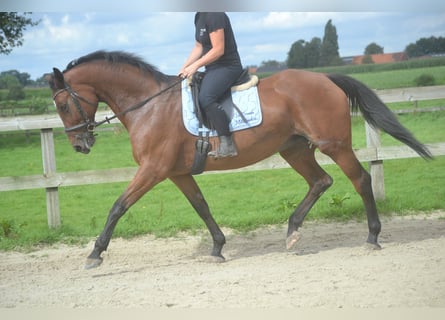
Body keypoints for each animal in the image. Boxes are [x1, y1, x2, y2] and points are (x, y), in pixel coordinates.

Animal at [46, 51, 430, 268]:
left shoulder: (152, 170)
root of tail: (325, 77)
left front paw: (95, 253)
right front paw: (218, 247)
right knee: (321, 181)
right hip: (294, 148)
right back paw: (292, 231)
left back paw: (372, 237)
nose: (80, 145)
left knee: (360, 180)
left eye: (63, 104)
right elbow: (201, 206)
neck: (149, 105)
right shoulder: (176, 173)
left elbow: (118, 207)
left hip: (333, 145)